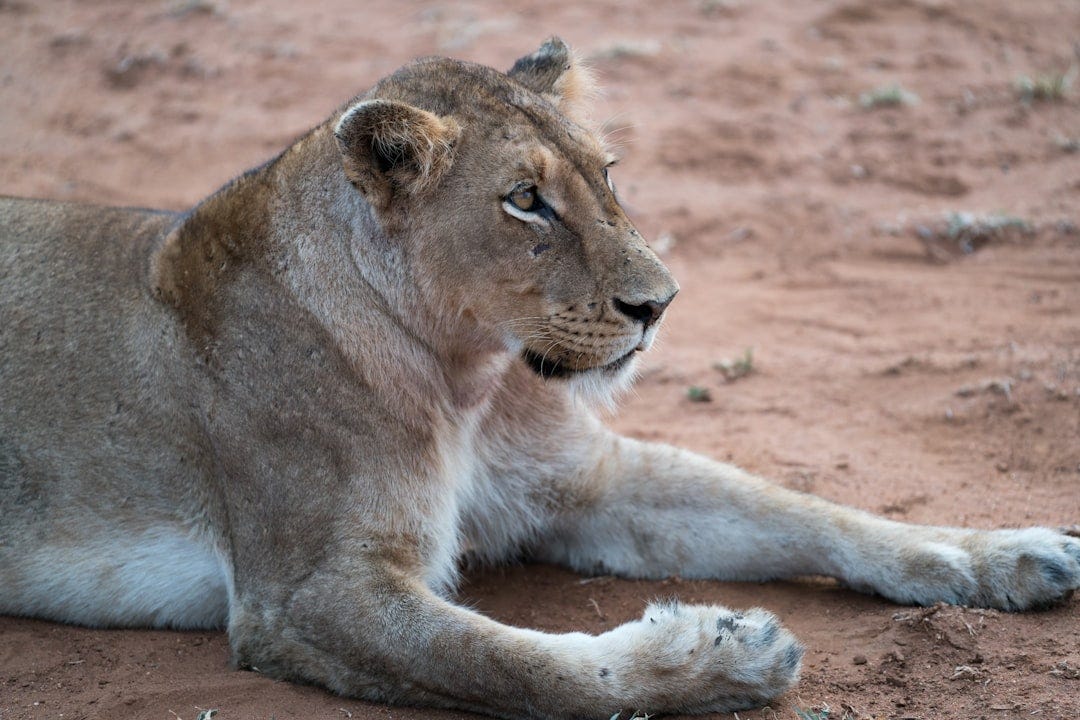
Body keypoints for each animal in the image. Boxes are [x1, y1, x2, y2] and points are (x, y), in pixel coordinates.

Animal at [1, 38, 1077, 718]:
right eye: (525, 201)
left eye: (608, 173)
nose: (660, 303)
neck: (467, 376)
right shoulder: (306, 597)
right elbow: (521, 669)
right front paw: (717, 657)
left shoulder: (585, 483)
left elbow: (807, 510)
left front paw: (1007, 553)